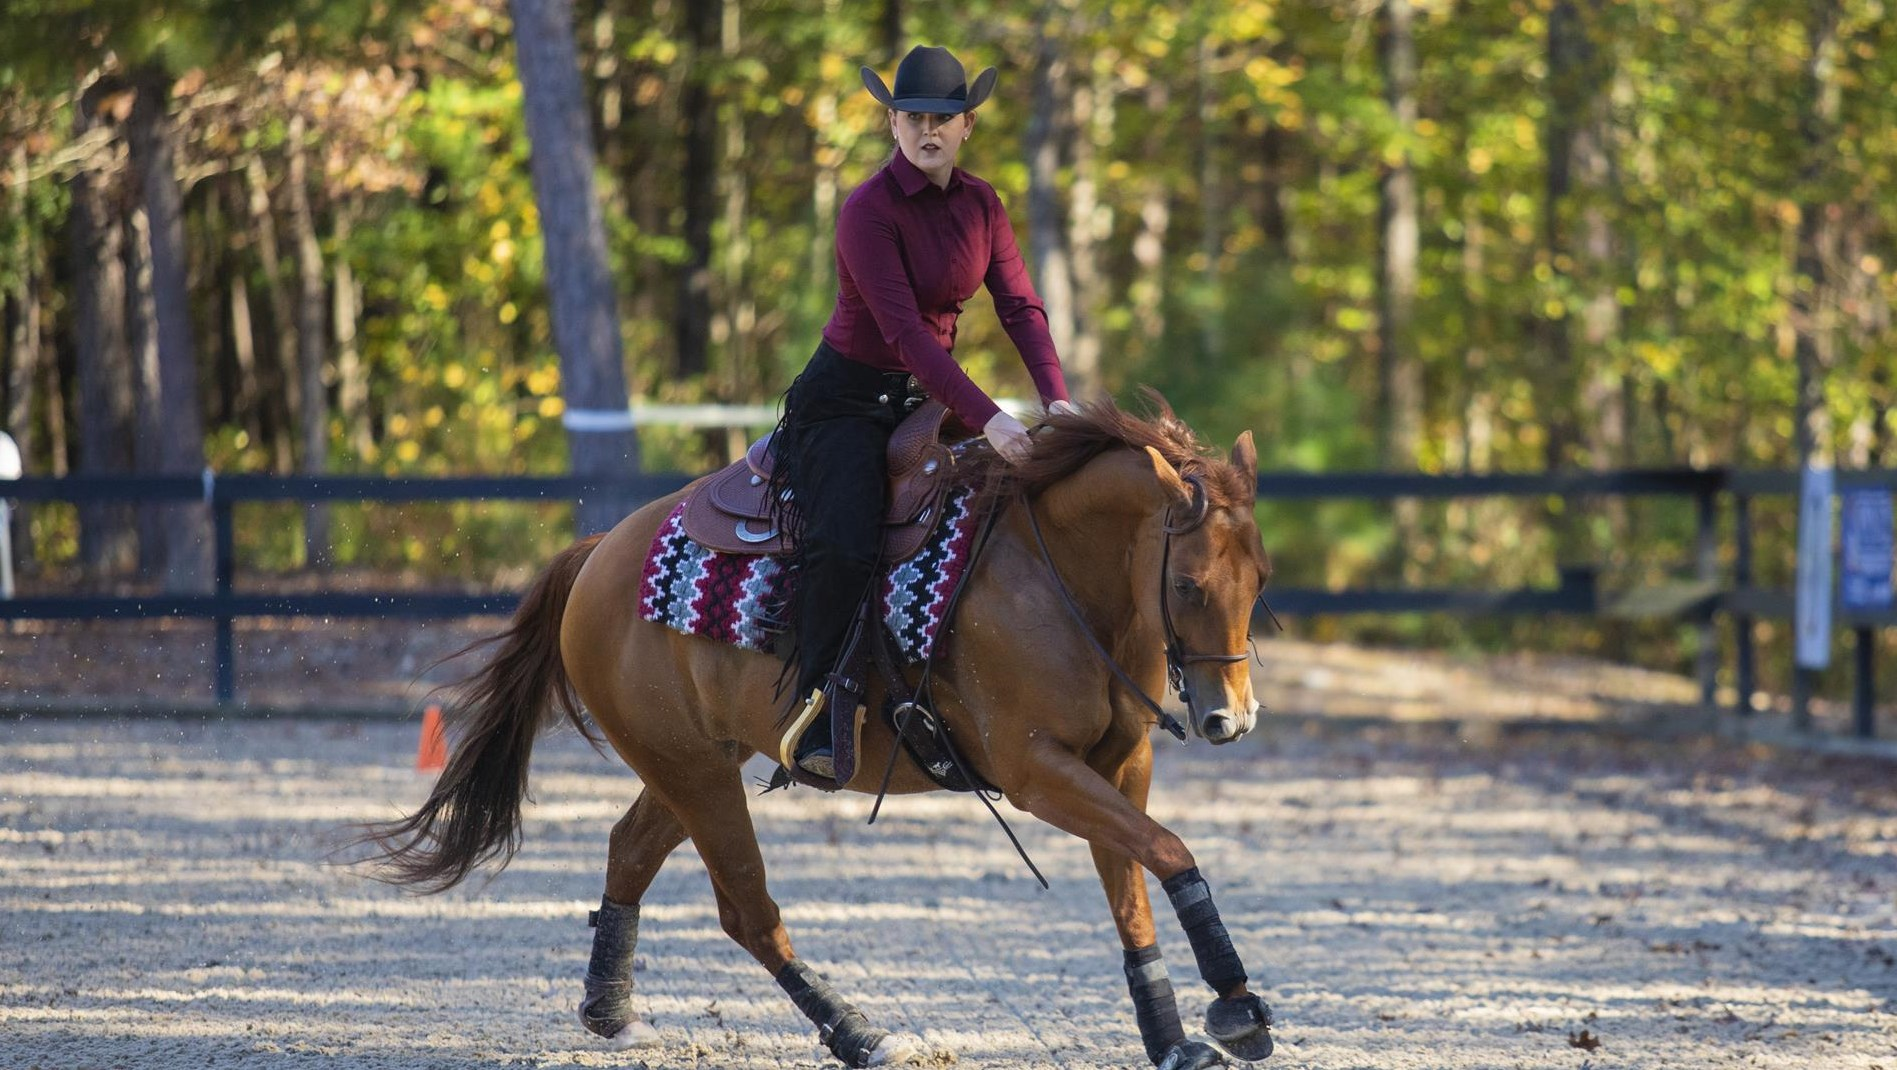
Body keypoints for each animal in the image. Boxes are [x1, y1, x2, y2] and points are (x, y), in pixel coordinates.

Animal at [358, 396, 1274, 1062]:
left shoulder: (1120, 764)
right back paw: (858, 1033)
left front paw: (1173, 1037)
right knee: (746, 911)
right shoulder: (1036, 772)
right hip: (694, 773)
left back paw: (608, 1007)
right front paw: (1236, 1006)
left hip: (691, 763)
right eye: (1188, 584)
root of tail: (599, 553)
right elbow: (1170, 852)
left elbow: (1134, 890)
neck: (1054, 576)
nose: (1229, 718)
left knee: (630, 851)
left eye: (1260, 576)